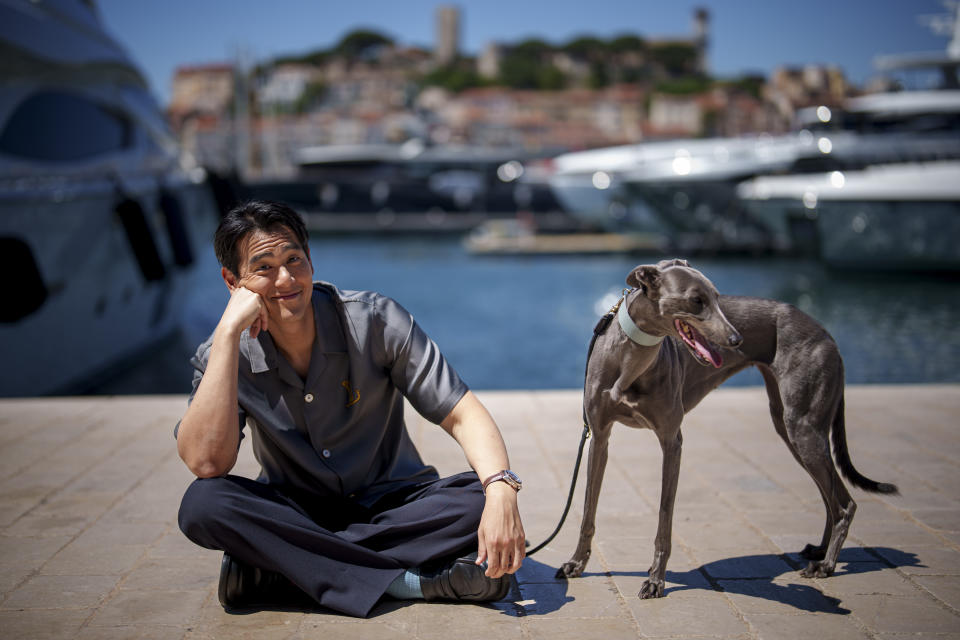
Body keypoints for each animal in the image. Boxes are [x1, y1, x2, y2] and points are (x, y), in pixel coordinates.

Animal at [560, 258, 896, 596]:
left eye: (718, 298)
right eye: (697, 300)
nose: (737, 340)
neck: (632, 358)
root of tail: (826, 333)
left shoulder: (671, 441)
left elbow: (664, 519)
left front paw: (655, 579)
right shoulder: (599, 436)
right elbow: (588, 509)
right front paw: (576, 563)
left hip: (803, 428)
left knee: (843, 503)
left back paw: (826, 565)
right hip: (791, 428)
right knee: (831, 497)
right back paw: (820, 552)